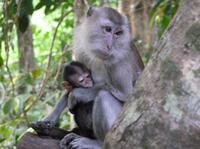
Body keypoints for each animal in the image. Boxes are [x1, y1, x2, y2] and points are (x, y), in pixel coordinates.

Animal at [60, 6, 144, 148]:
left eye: (118, 33)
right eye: (108, 29)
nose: (110, 46)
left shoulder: (119, 60)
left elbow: (127, 95)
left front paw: (78, 94)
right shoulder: (82, 50)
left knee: (103, 96)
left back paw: (97, 143)